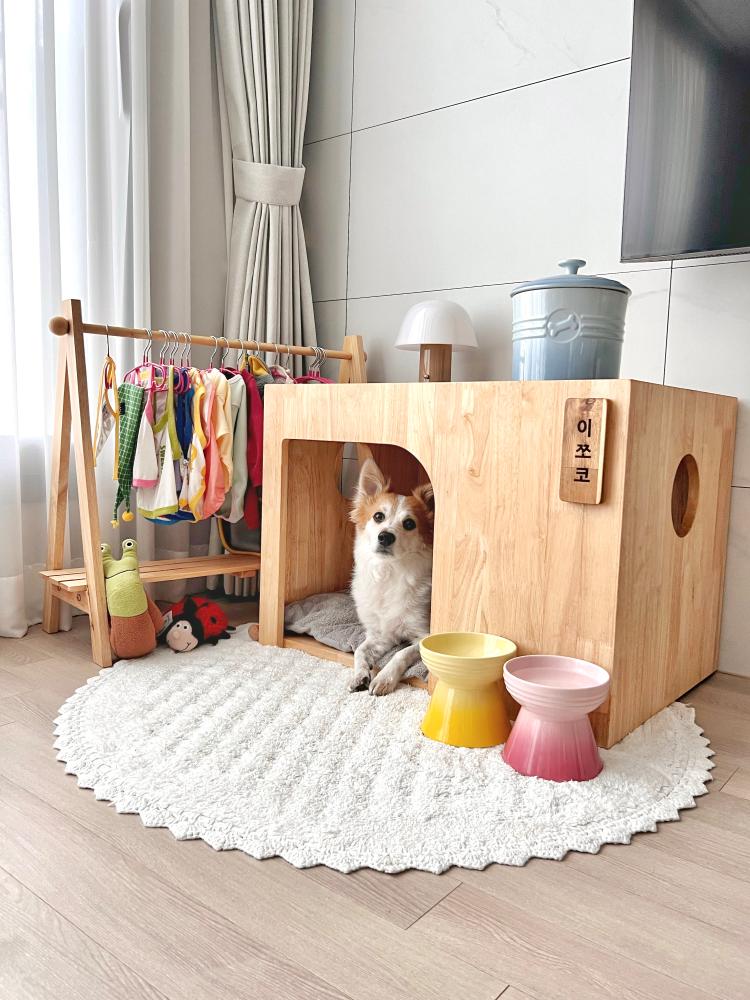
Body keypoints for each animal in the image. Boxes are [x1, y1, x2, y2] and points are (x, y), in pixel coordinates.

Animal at [349, 458, 434, 695]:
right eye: (378, 516)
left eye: (409, 524)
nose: (385, 536)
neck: (388, 572)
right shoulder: (380, 636)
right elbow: (360, 651)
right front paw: (360, 674)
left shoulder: (424, 636)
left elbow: (401, 653)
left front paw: (384, 678)